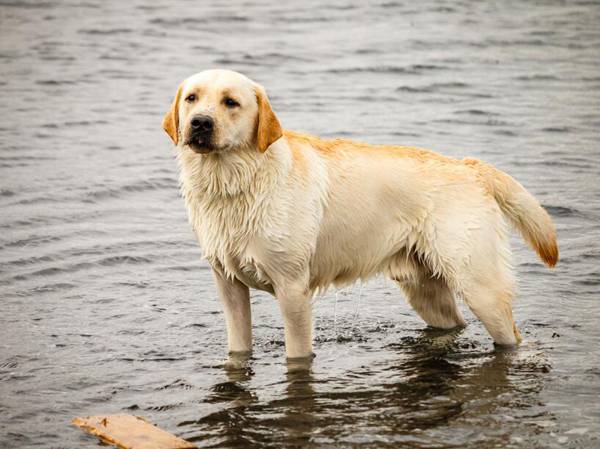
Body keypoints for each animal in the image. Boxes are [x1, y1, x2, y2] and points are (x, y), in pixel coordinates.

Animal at [161, 69, 556, 356]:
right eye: (192, 98)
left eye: (231, 102)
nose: (200, 122)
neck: (236, 182)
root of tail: (469, 166)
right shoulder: (228, 285)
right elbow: (238, 349)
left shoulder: (292, 289)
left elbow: (297, 356)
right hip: (425, 289)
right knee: (453, 323)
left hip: (480, 286)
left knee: (509, 335)